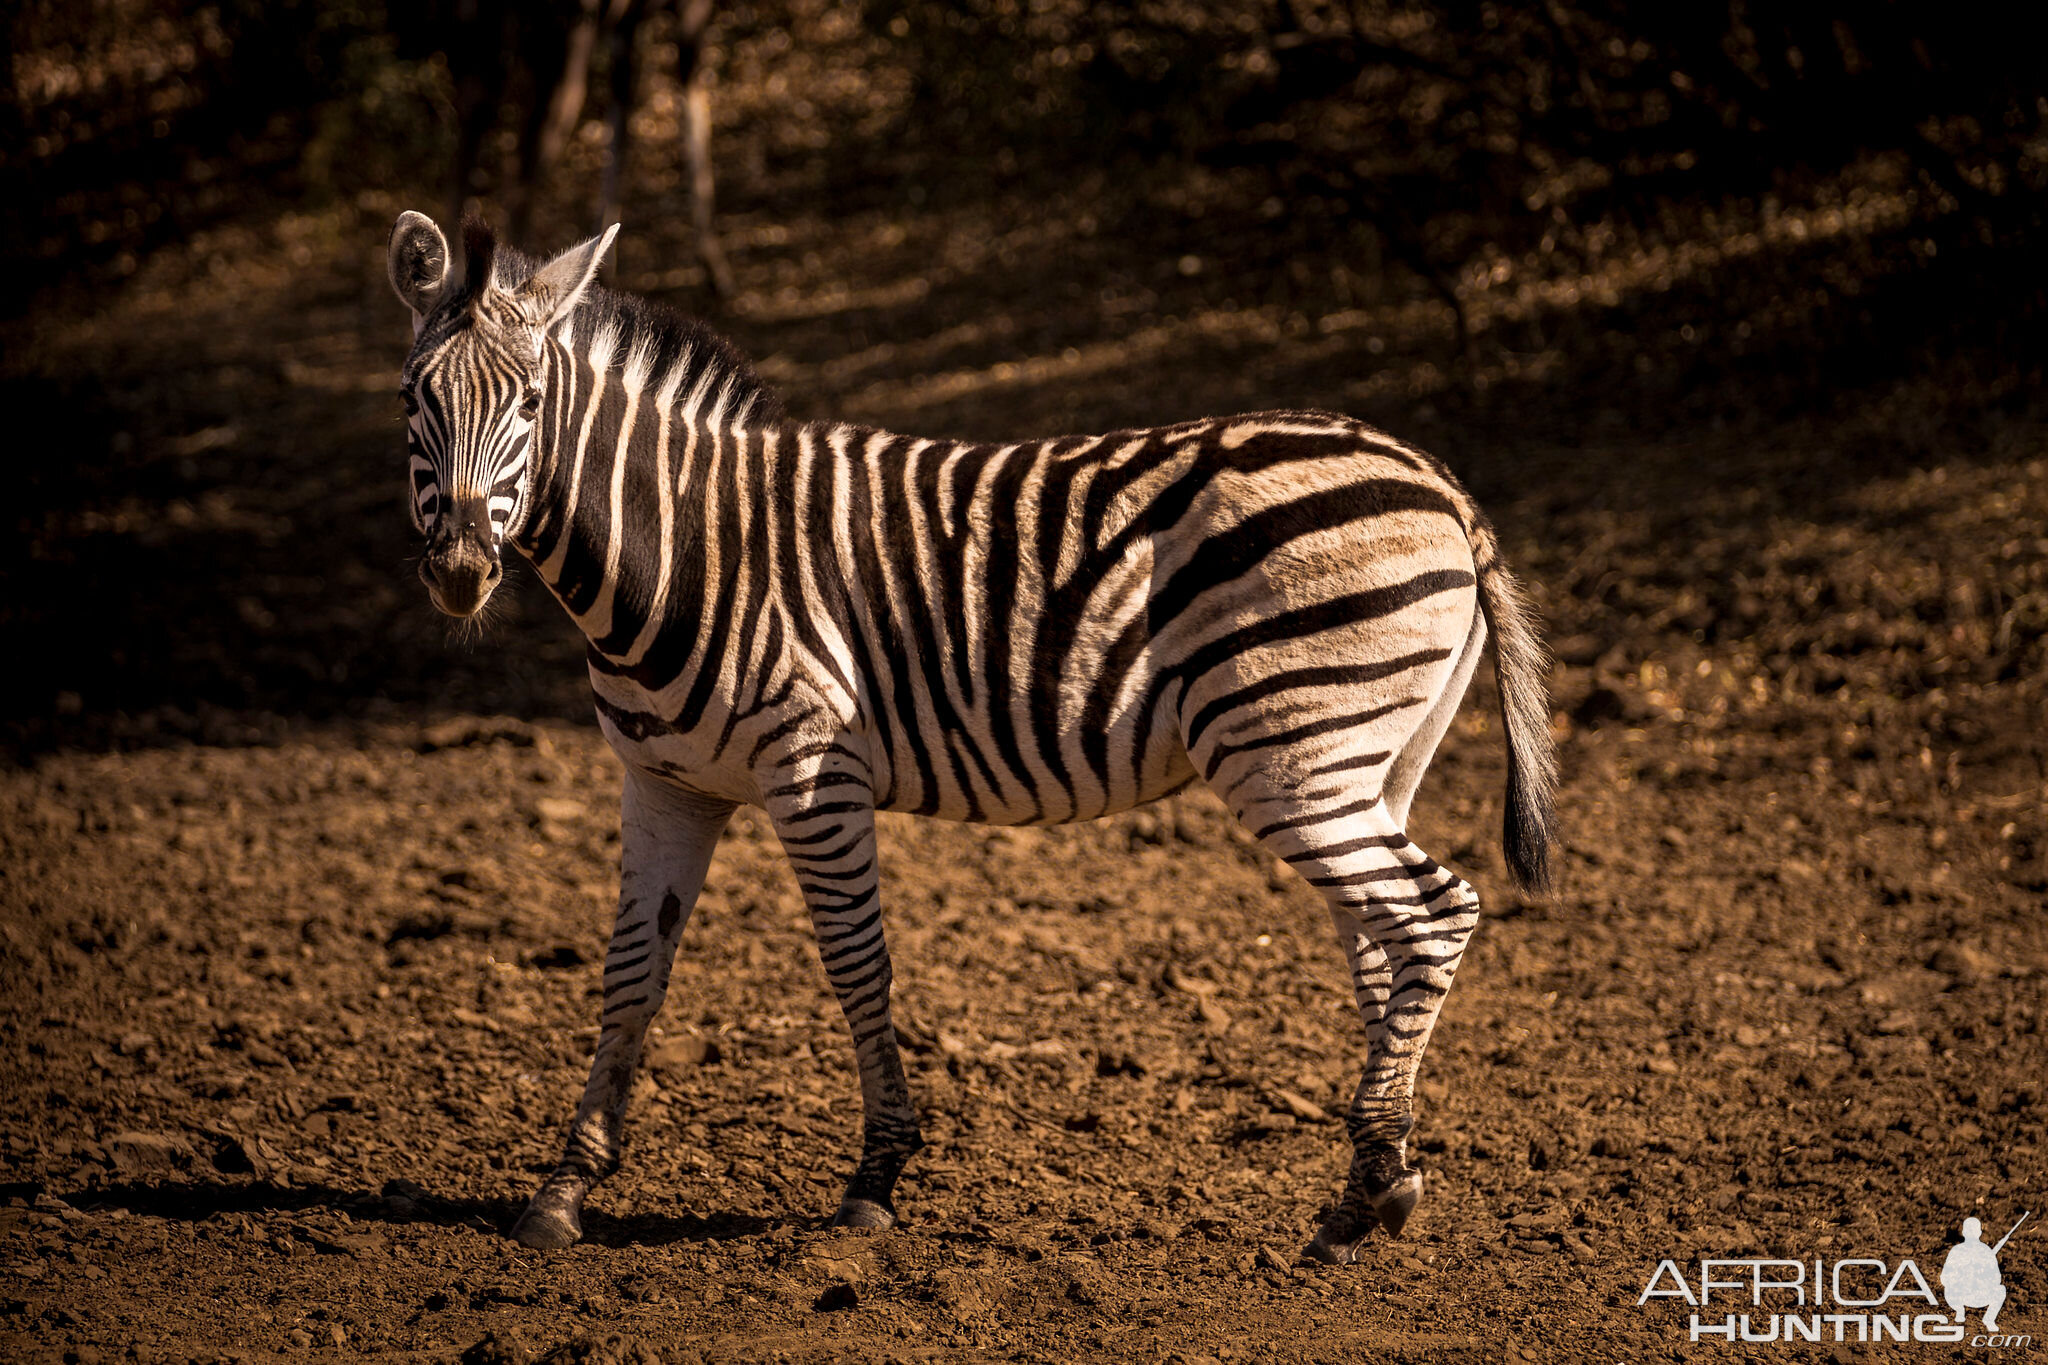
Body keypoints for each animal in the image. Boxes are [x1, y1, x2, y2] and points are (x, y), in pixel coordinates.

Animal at [391, 213, 1556, 1268]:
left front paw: (874, 1179)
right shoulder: (663, 783)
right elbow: (632, 974)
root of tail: (1433, 477)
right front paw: (564, 1187)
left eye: (530, 405)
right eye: (414, 402)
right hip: (1365, 762)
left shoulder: (812, 770)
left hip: (1290, 751)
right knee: (1382, 936)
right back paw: (1384, 1177)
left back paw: (1360, 1199)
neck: (686, 545)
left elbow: (856, 961)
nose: (458, 571)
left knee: (1434, 912)